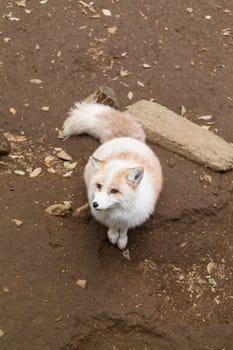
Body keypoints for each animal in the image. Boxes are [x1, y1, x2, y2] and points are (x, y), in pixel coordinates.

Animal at [62, 102, 163, 250]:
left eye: (114, 191)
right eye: (98, 186)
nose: (95, 204)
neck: (116, 212)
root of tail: (125, 138)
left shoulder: (130, 217)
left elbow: (124, 229)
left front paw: (122, 241)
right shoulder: (106, 216)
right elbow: (112, 227)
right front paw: (113, 236)